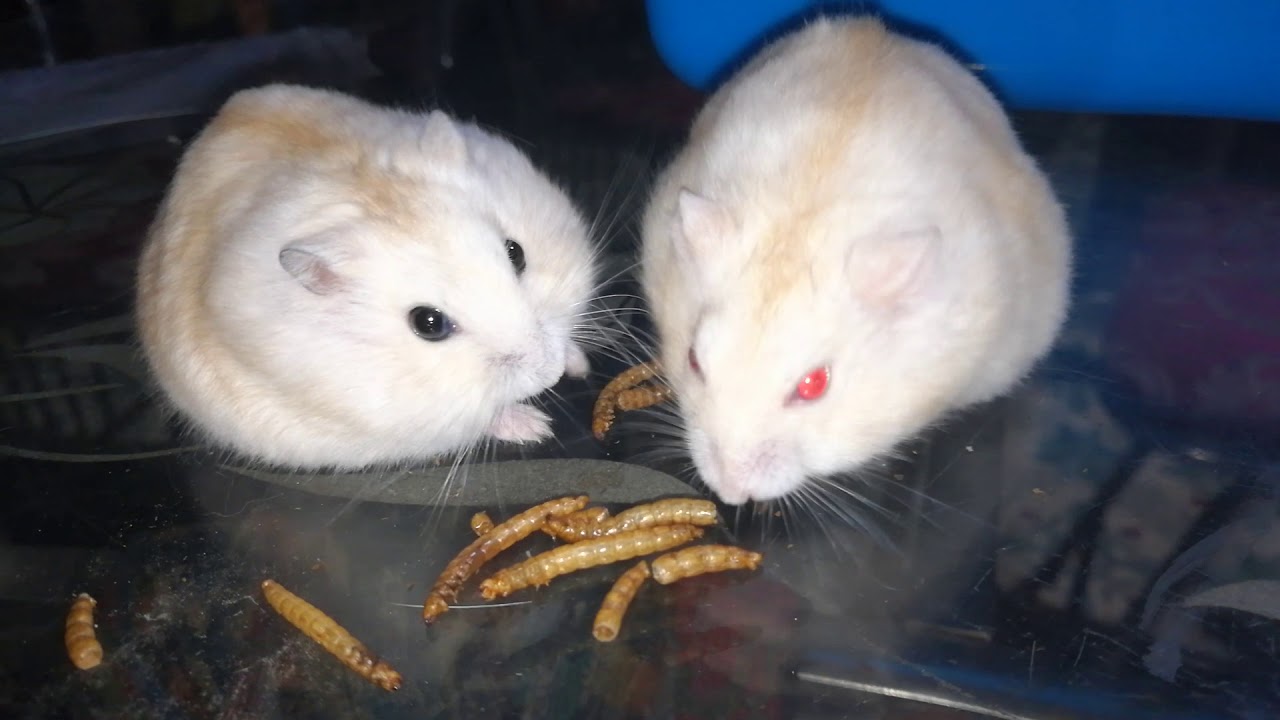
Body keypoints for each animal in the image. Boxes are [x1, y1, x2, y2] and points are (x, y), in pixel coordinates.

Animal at [136, 84, 597, 469]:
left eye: (516, 253)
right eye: (428, 324)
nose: (551, 373)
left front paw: (580, 366)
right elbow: (477, 419)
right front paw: (538, 427)